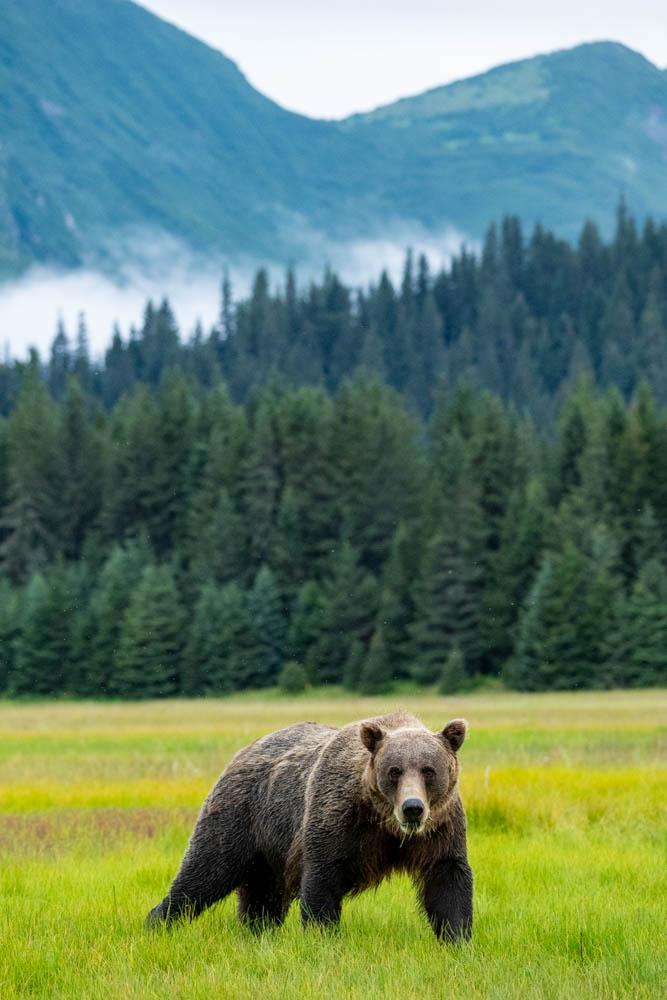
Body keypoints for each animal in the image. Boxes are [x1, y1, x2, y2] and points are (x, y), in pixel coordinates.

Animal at [146, 711, 473, 942]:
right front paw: (322, 935)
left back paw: (257, 931)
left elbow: (447, 879)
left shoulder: (440, 829)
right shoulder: (337, 817)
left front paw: (456, 938)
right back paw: (158, 922)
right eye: (394, 771)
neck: (385, 823)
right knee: (205, 872)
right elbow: (322, 876)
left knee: (263, 895)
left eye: (429, 770)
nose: (412, 808)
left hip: (269, 850)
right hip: (241, 815)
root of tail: (246, 749)